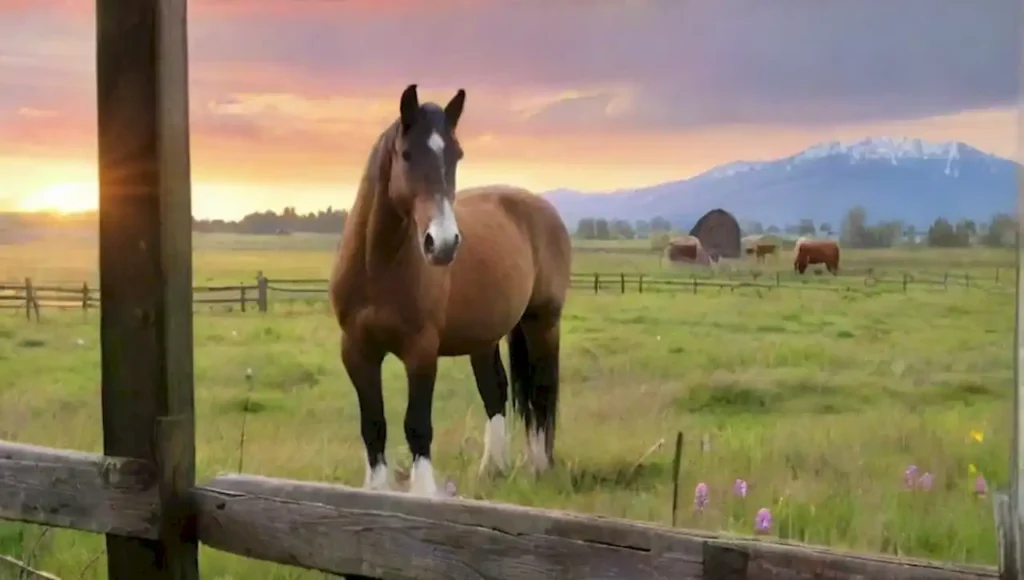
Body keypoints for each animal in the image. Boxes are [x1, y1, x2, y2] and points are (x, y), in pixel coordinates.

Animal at [328, 84, 572, 498]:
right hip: (484, 337)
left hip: (542, 322)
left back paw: (539, 466)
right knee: (496, 391)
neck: (378, 268)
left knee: (540, 393)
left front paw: (425, 492)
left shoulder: (421, 351)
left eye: (456, 154)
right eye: (407, 154)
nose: (442, 244)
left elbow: (417, 424)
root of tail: (543, 209)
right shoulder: (357, 351)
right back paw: (492, 468)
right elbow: (373, 425)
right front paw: (376, 490)